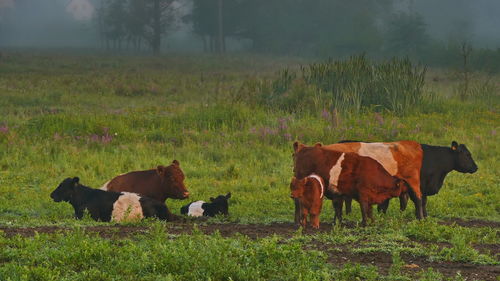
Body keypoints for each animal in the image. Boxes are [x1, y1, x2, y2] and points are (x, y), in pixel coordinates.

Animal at [292, 140, 426, 219]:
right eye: (293, 155)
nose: (295, 170)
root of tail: (411, 143)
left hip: (412, 180)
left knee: (417, 198)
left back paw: (420, 218)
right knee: (406, 198)